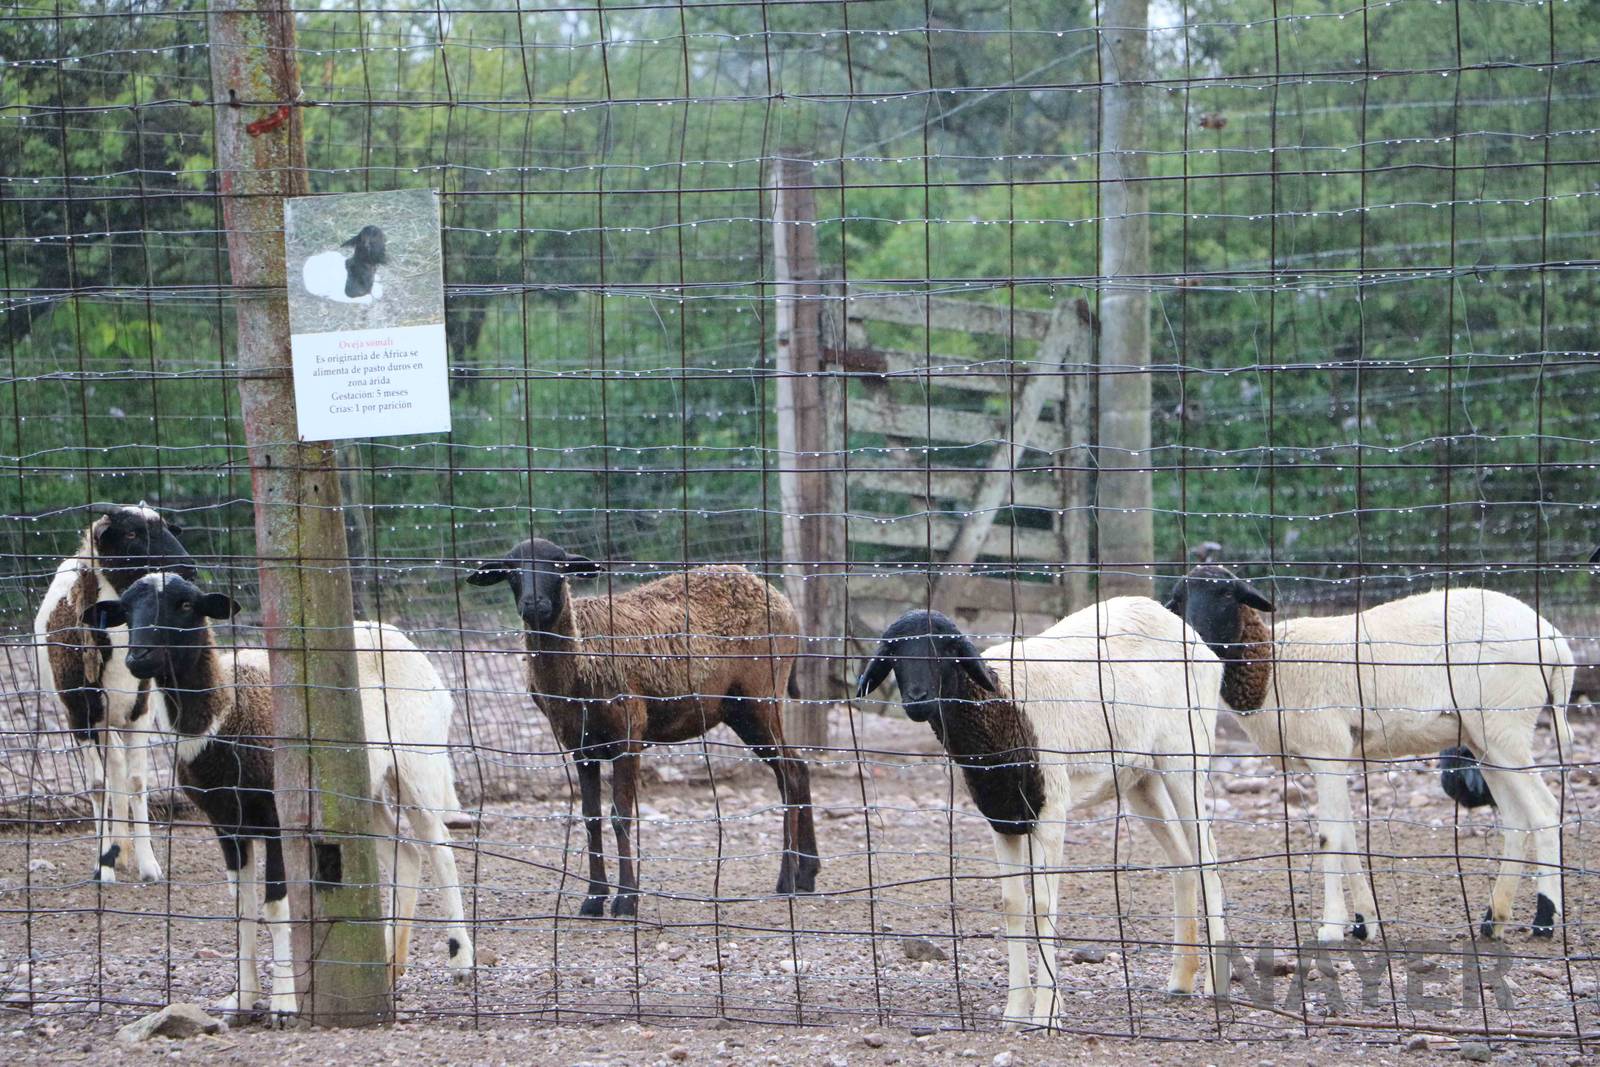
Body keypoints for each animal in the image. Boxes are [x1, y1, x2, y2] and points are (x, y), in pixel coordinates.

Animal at [33, 503, 194, 883]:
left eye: (168, 528)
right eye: (132, 533)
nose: (188, 569)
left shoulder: (140, 710)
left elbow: (135, 782)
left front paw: (149, 866)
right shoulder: (80, 715)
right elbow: (97, 784)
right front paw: (102, 868)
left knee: (119, 768)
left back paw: (123, 847)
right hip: (99, 717)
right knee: (111, 768)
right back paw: (114, 850)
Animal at [86, 572, 474, 1016]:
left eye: (185, 605)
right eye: (127, 610)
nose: (138, 657)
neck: (225, 710)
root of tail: (393, 633)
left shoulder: (275, 819)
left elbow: (275, 907)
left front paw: (284, 1002)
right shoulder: (226, 822)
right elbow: (243, 908)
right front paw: (242, 997)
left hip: (417, 764)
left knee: (440, 848)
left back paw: (461, 959)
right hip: (362, 790)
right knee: (406, 854)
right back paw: (390, 964)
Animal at [467, 537, 818, 917]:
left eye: (558, 566)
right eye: (511, 570)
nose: (534, 604)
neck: (579, 662)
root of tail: (776, 596)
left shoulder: (628, 736)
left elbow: (621, 816)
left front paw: (626, 899)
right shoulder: (582, 749)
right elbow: (590, 818)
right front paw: (594, 898)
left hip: (760, 701)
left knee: (790, 773)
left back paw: (788, 880)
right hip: (743, 711)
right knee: (797, 768)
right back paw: (807, 874)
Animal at [855, 600, 1229, 1027]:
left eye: (947, 649)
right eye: (893, 653)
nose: (917, 700)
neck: (999, 705)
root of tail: (1175, 621)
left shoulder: (1051, 811)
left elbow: (1043, 907)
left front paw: (1047, 1012)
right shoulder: (1002, 816)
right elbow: (1013, 906)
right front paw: (1016, 1011)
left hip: (1185, 758)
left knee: (1208, 858)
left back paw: (1216, 984)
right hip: (1140, 779)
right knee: (1183, 860)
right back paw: (1181, 978)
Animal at [1166, 565, 1575, 943]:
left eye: (1226, 595)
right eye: (1179, 600)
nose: (1194, 643)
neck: (1271, 670)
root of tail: (1555, 641)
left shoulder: (1326, 751)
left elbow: (1330, 836)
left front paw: (1331, 926)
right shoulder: (1337, 755)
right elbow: (1347, 835)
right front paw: (1364, 922)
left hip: (1505, 725)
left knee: (1543, 811)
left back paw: (1543, 920)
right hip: (1483, 738)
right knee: (1516, 820)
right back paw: (1494, 919)